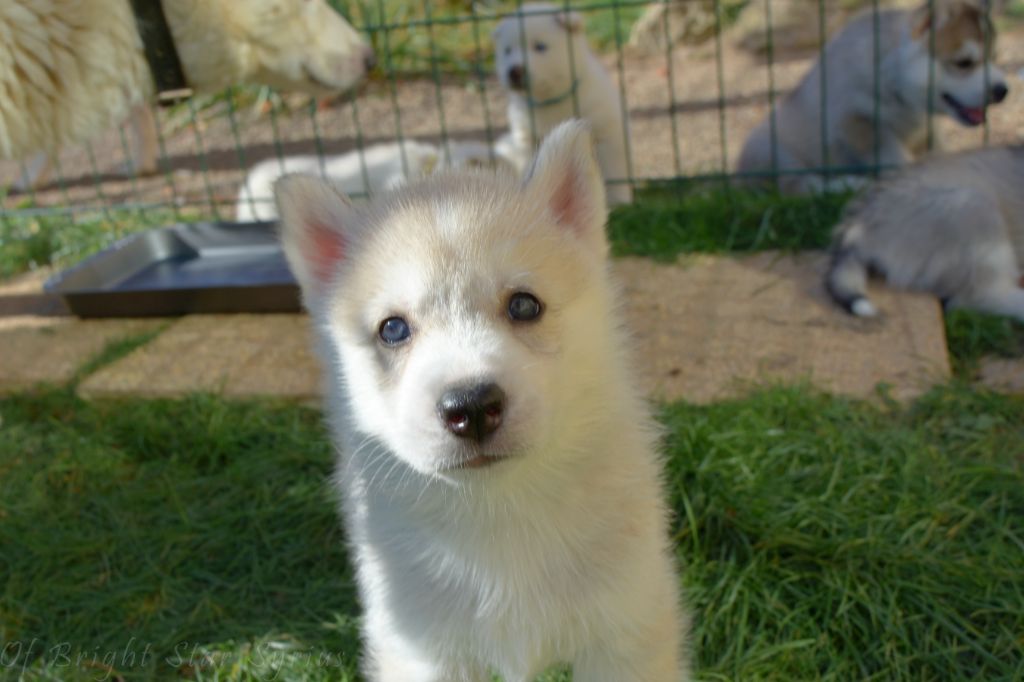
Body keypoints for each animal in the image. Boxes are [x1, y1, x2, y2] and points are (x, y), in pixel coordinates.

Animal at [275, 121, 688, 681]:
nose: (470, 407)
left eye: (524, 305)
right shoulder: (422, 647)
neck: (497, 511)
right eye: (393, 329)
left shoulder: (624, 632)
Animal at [493, 3, 633, 205]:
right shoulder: (526, 138)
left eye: (540, 46)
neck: (549, 101)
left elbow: (616, 171)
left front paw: (622, 201)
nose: (514, 71)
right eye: (507, 50)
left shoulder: (608, 134)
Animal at [737, 0, 1008, 194]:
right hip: (771, 151)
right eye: (964, 63)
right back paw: (849, 184)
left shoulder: (926, 129)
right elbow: (894, 158)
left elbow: (936, 150)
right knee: (802, 187)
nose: (1002, 91)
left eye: (994, 57)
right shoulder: (859, 122)